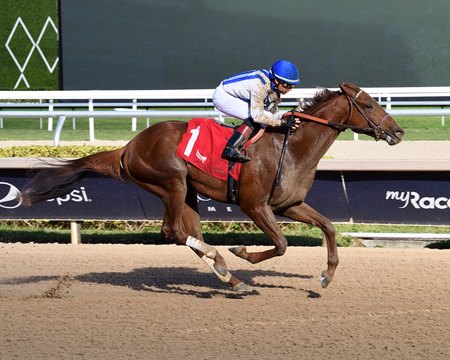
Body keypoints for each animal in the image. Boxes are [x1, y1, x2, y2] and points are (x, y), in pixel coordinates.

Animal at [19, 83, 404, 292]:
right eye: (368, 105)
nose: (398, 131)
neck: (292, 146)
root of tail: (127, 147)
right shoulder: (254, 205)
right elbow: (280, 244)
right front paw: (241, 252)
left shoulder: (289, 205)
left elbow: (328, 226)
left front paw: (326, 276)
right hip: (171, 182)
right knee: (173, 231)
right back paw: (222, 260)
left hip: (188, 191)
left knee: (187, 233)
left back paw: (228, 276)